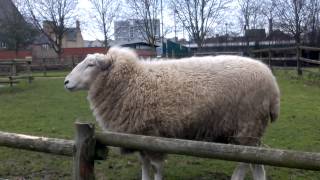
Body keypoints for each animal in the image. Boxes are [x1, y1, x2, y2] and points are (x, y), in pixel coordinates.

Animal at [64, 46, 280, 180]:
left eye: (91, 64)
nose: (65, 82)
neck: (131, 81)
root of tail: (273, 85)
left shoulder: (154, 136)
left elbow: (157, 168)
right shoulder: (139, 137)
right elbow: (145, 168)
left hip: (246, 128)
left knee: (244, 162)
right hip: (252, 132)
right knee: (257, 164)